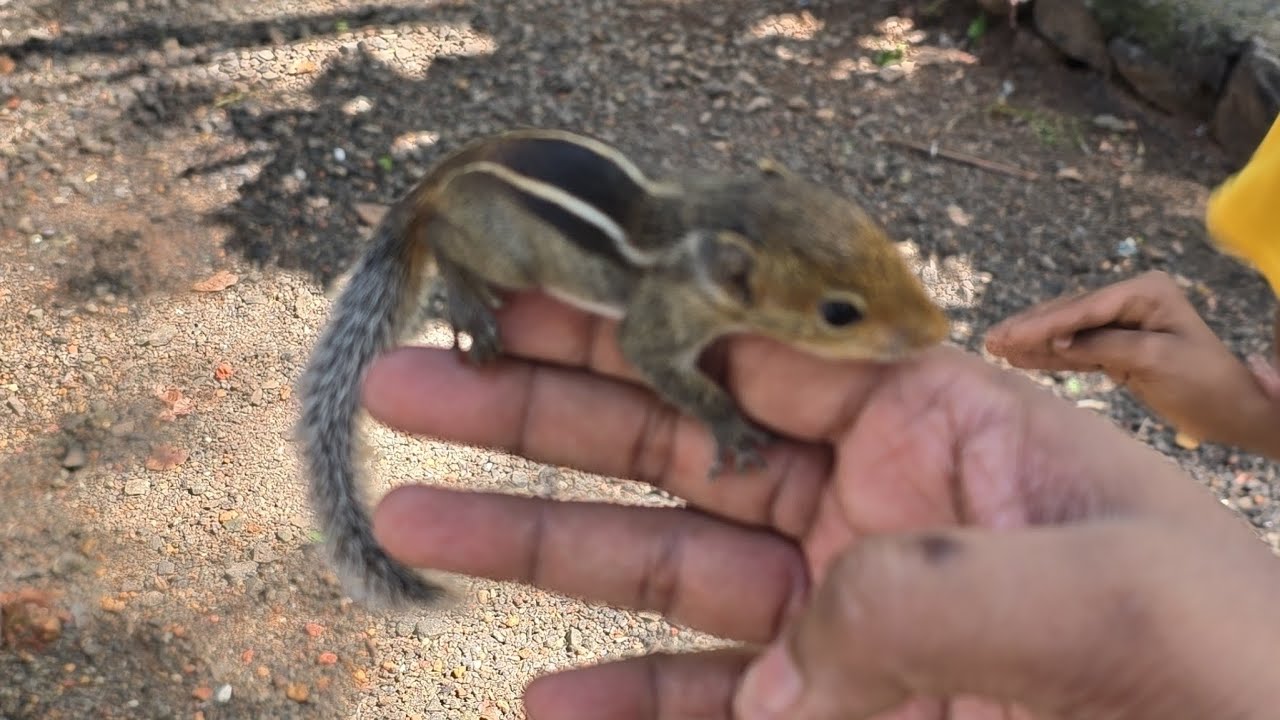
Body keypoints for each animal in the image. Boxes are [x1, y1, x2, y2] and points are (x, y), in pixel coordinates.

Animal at [297, 128, 951, 611]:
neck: (704, 223)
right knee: (442, 239)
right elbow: (664, 367)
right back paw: (469, 301)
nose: (939, 332)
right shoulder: (656, 328)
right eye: (839, 313)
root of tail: (432, 182)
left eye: (877, 236)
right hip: (509, 256)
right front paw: (733, 431)